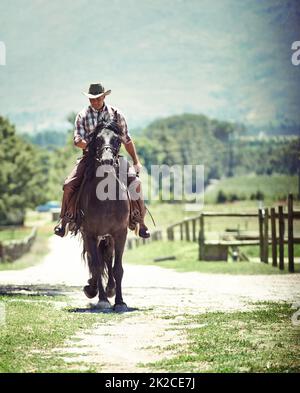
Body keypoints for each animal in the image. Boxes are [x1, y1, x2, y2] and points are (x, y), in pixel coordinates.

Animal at [79, 121, 131, 310]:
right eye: (98, 139)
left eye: (117, 140)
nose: (107, 161)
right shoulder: (90, 234)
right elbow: (96, 265)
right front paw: (101, 299)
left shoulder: (120, 233)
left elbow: (117, 268)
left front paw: (120, 302)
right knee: (95, 261)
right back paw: (94, 289)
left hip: (108, 238)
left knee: (107, 259)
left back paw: (110, 289)